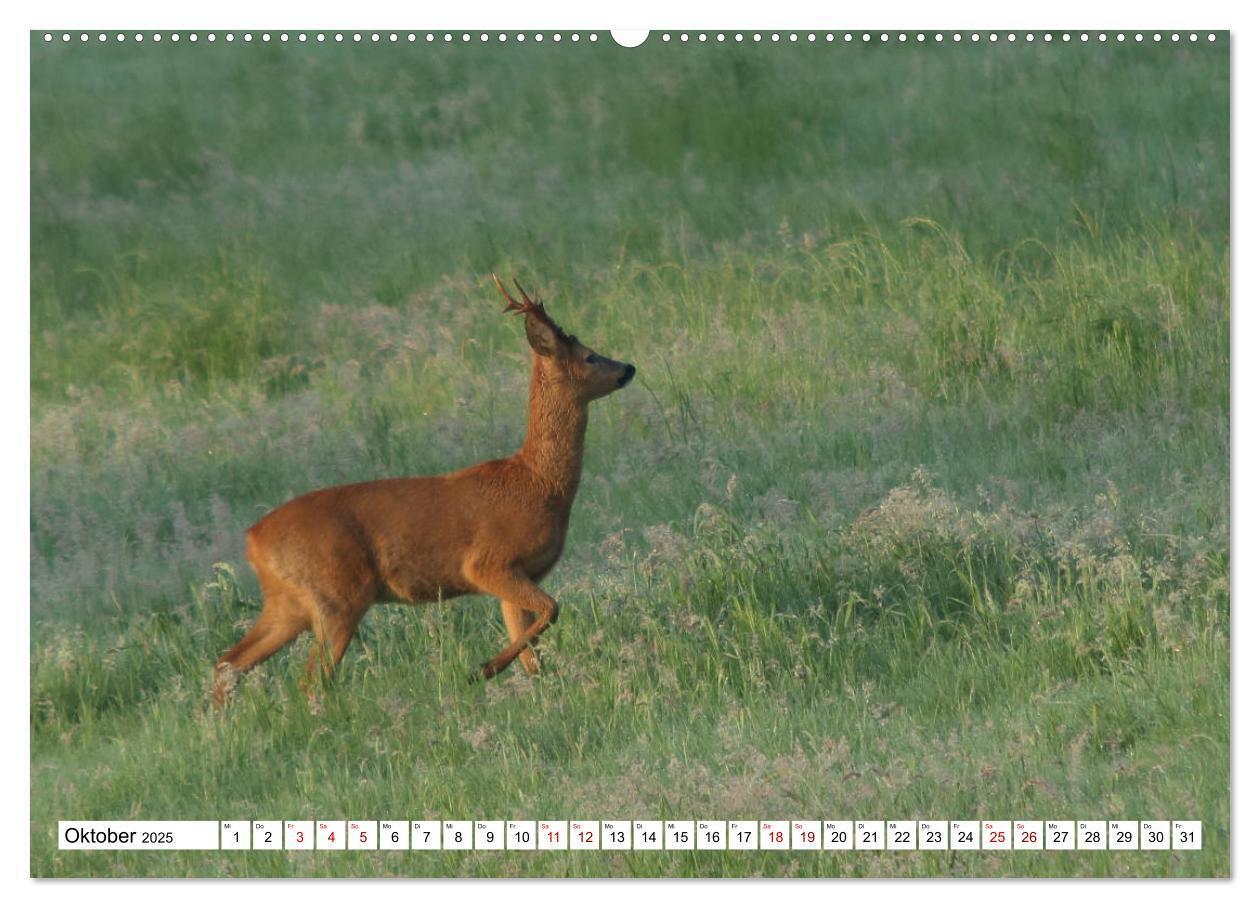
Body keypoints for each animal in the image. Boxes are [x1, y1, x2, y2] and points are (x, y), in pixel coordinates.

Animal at [212, 273, 640, 705]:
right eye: (589, 356)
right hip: (336, 596)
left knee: (229, 661)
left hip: (288, 603)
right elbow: (552, 610)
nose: (629, 367)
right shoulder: (489, 562)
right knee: (311, 680)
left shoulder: (518, 575)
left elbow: (533, 653)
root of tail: (253, 541)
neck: (539, 483)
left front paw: (533, 688)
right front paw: (483, 669)